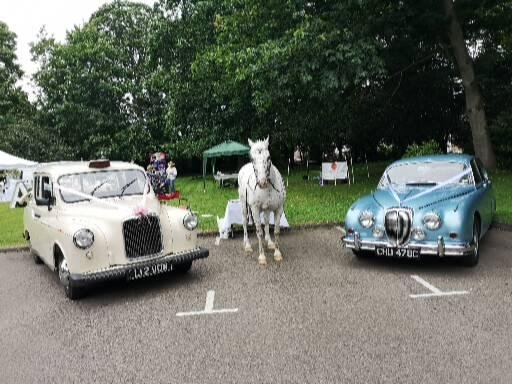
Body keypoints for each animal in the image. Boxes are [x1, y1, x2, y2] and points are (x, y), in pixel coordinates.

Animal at [238, 136, 286, 266]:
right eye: (252, 159)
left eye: (268, 157)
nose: (262, 182)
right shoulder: (254, 209)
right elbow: (259, 232)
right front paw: (262, 256)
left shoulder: (278, 209)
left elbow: (276, 230)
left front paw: (277, 253)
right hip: (244, 206)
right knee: (244, 222)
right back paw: (247, 244)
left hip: (266, 209)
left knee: (266, 222)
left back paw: (269, 242)